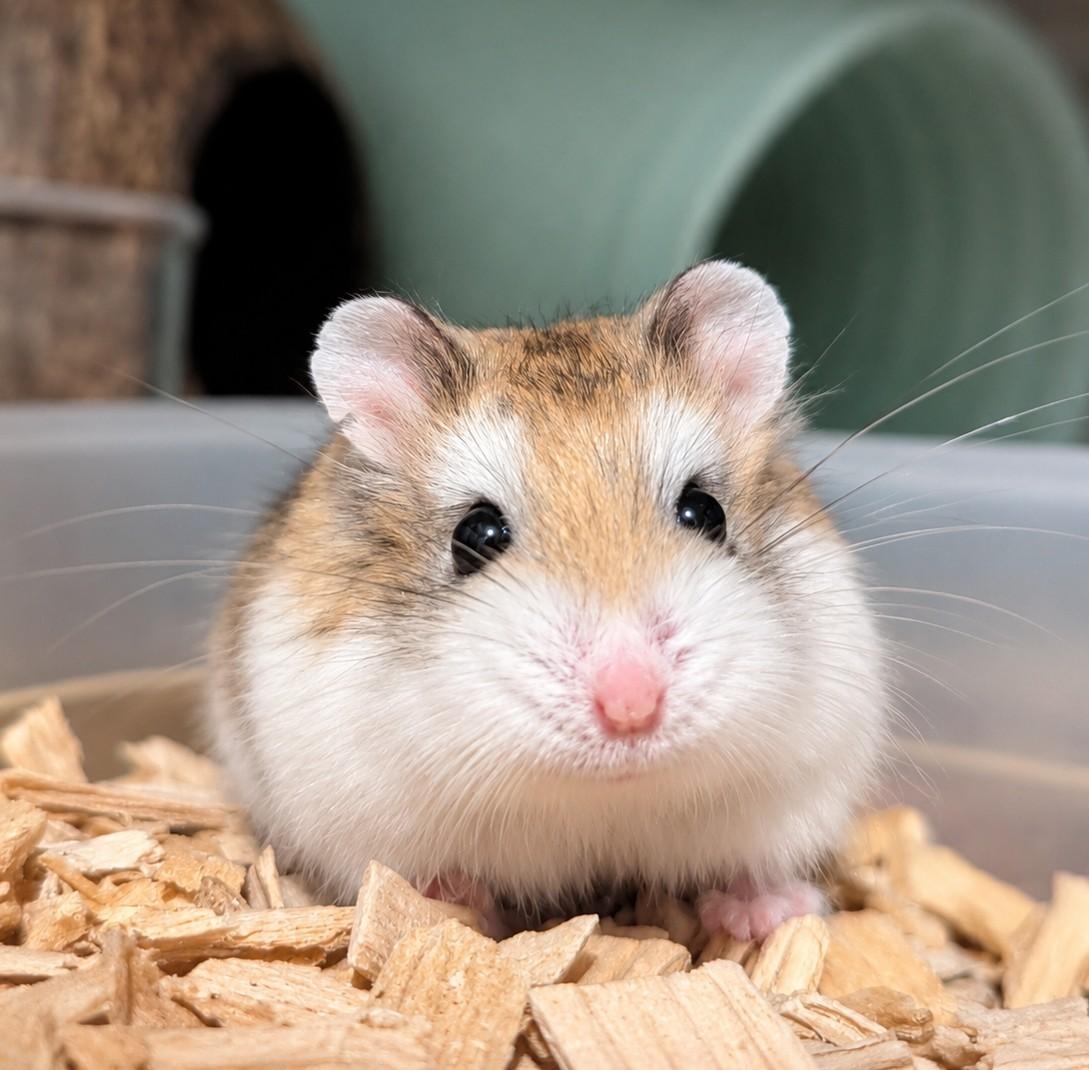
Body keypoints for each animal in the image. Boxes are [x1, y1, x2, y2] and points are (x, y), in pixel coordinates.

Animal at [207, 259, 886, 941]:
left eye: (705, 512)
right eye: (476, 536)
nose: (631, 707)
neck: (605, 793)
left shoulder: (803, 781)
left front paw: (762, 915)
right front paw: (453, 899)